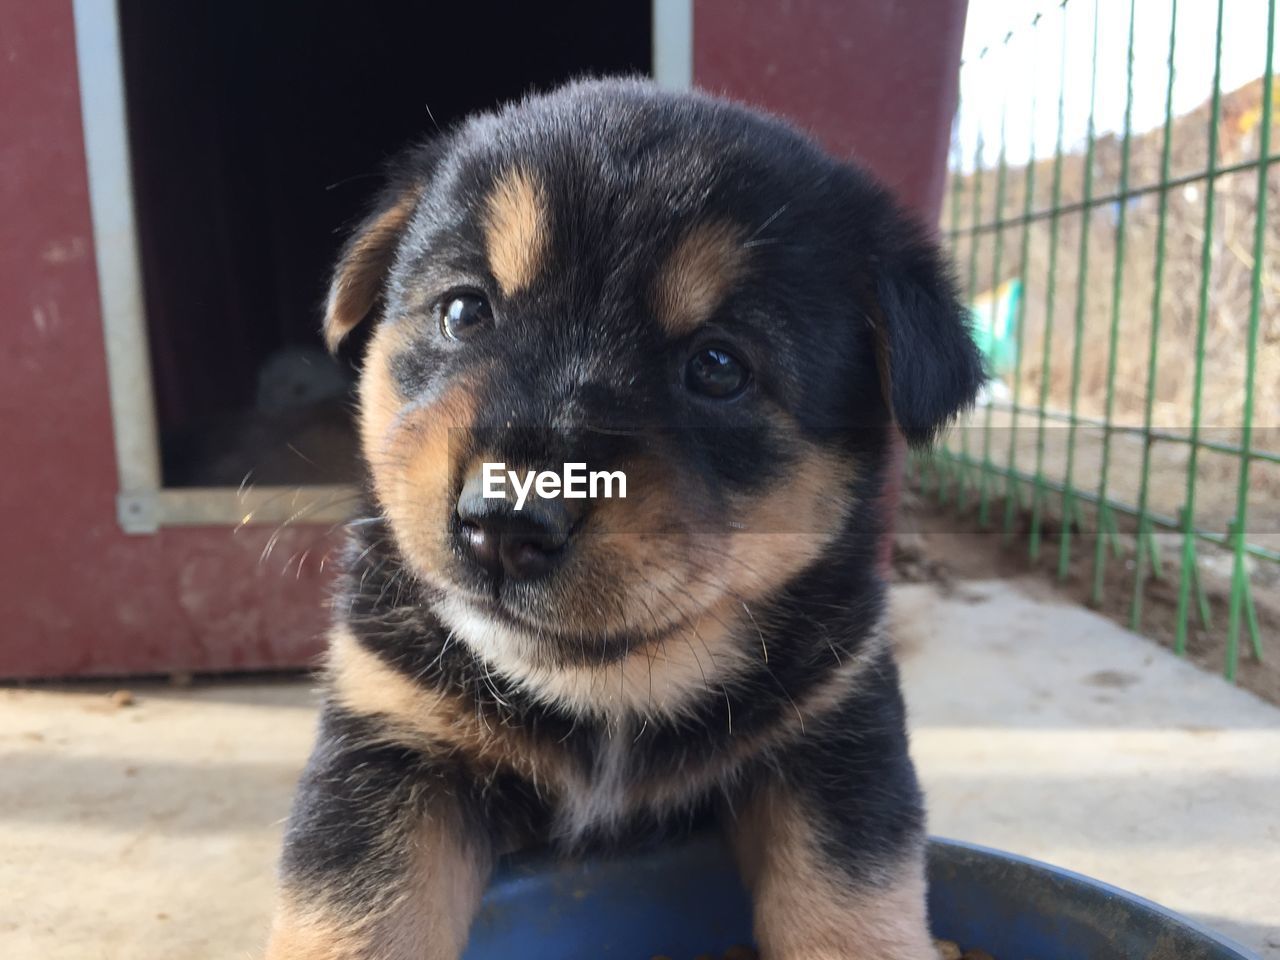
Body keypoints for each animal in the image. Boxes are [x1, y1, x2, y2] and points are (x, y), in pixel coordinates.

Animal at [267, 77, 977, 960]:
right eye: (464, 311)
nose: (503, 526)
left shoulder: (837, 743)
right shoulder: (389, 744)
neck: (607, 701)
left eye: (719, 366)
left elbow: (853, 910)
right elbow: (356, 925)